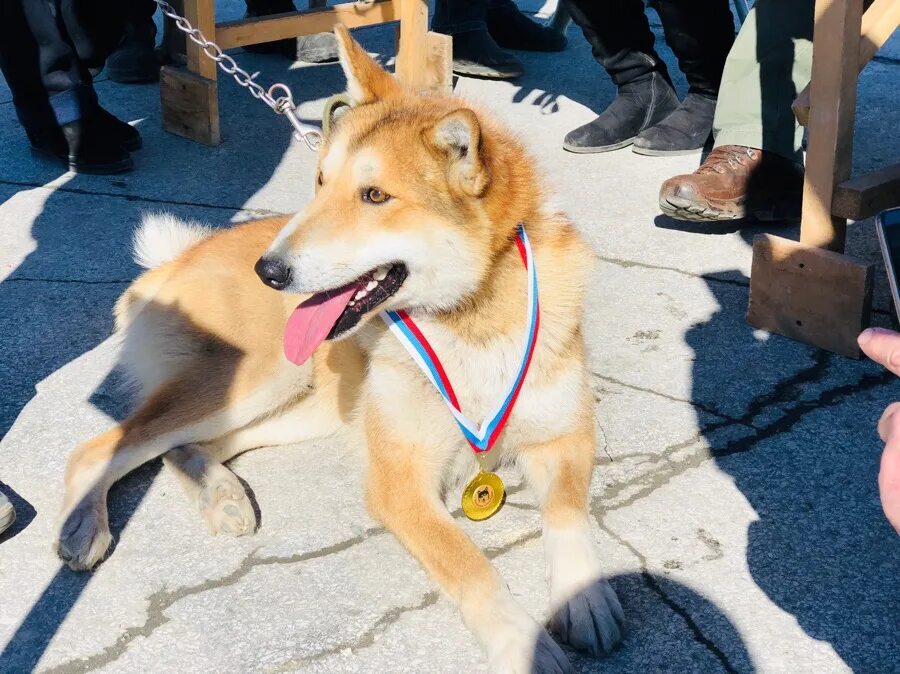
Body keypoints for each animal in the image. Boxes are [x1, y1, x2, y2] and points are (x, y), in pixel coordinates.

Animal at [56, 27, 624, 672]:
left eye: (375, 195)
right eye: (322, 181)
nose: (268, 271)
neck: (469, 317)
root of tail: (178, 258)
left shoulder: (566, 436)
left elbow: (569, 514)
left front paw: (585, 596)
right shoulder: (398, 481)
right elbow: (469, 564)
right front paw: (520, 639)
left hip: (308, 404)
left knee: (188, 447)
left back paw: (222, 496)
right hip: (261, 378)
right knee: (101, 447)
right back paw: (86, 525)